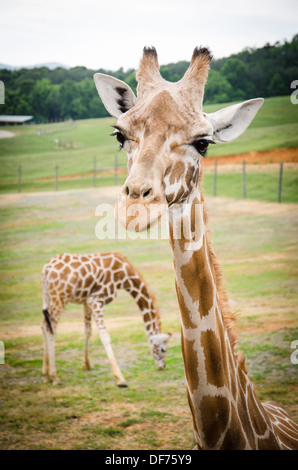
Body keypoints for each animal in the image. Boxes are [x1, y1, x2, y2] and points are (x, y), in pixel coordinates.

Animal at [41, 252, 171, 388]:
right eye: (163, 349)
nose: (162, 366)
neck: (124, 274)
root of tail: (45, 270)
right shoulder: (96, 300)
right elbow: (105, 337)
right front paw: (120, 379)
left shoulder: (87, 301)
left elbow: (87, 331)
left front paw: (86, 365)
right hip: (59, 299)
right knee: (51, 329)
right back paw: (55, 377)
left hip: (49, 298)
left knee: (44, 325)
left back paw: (46, 375)